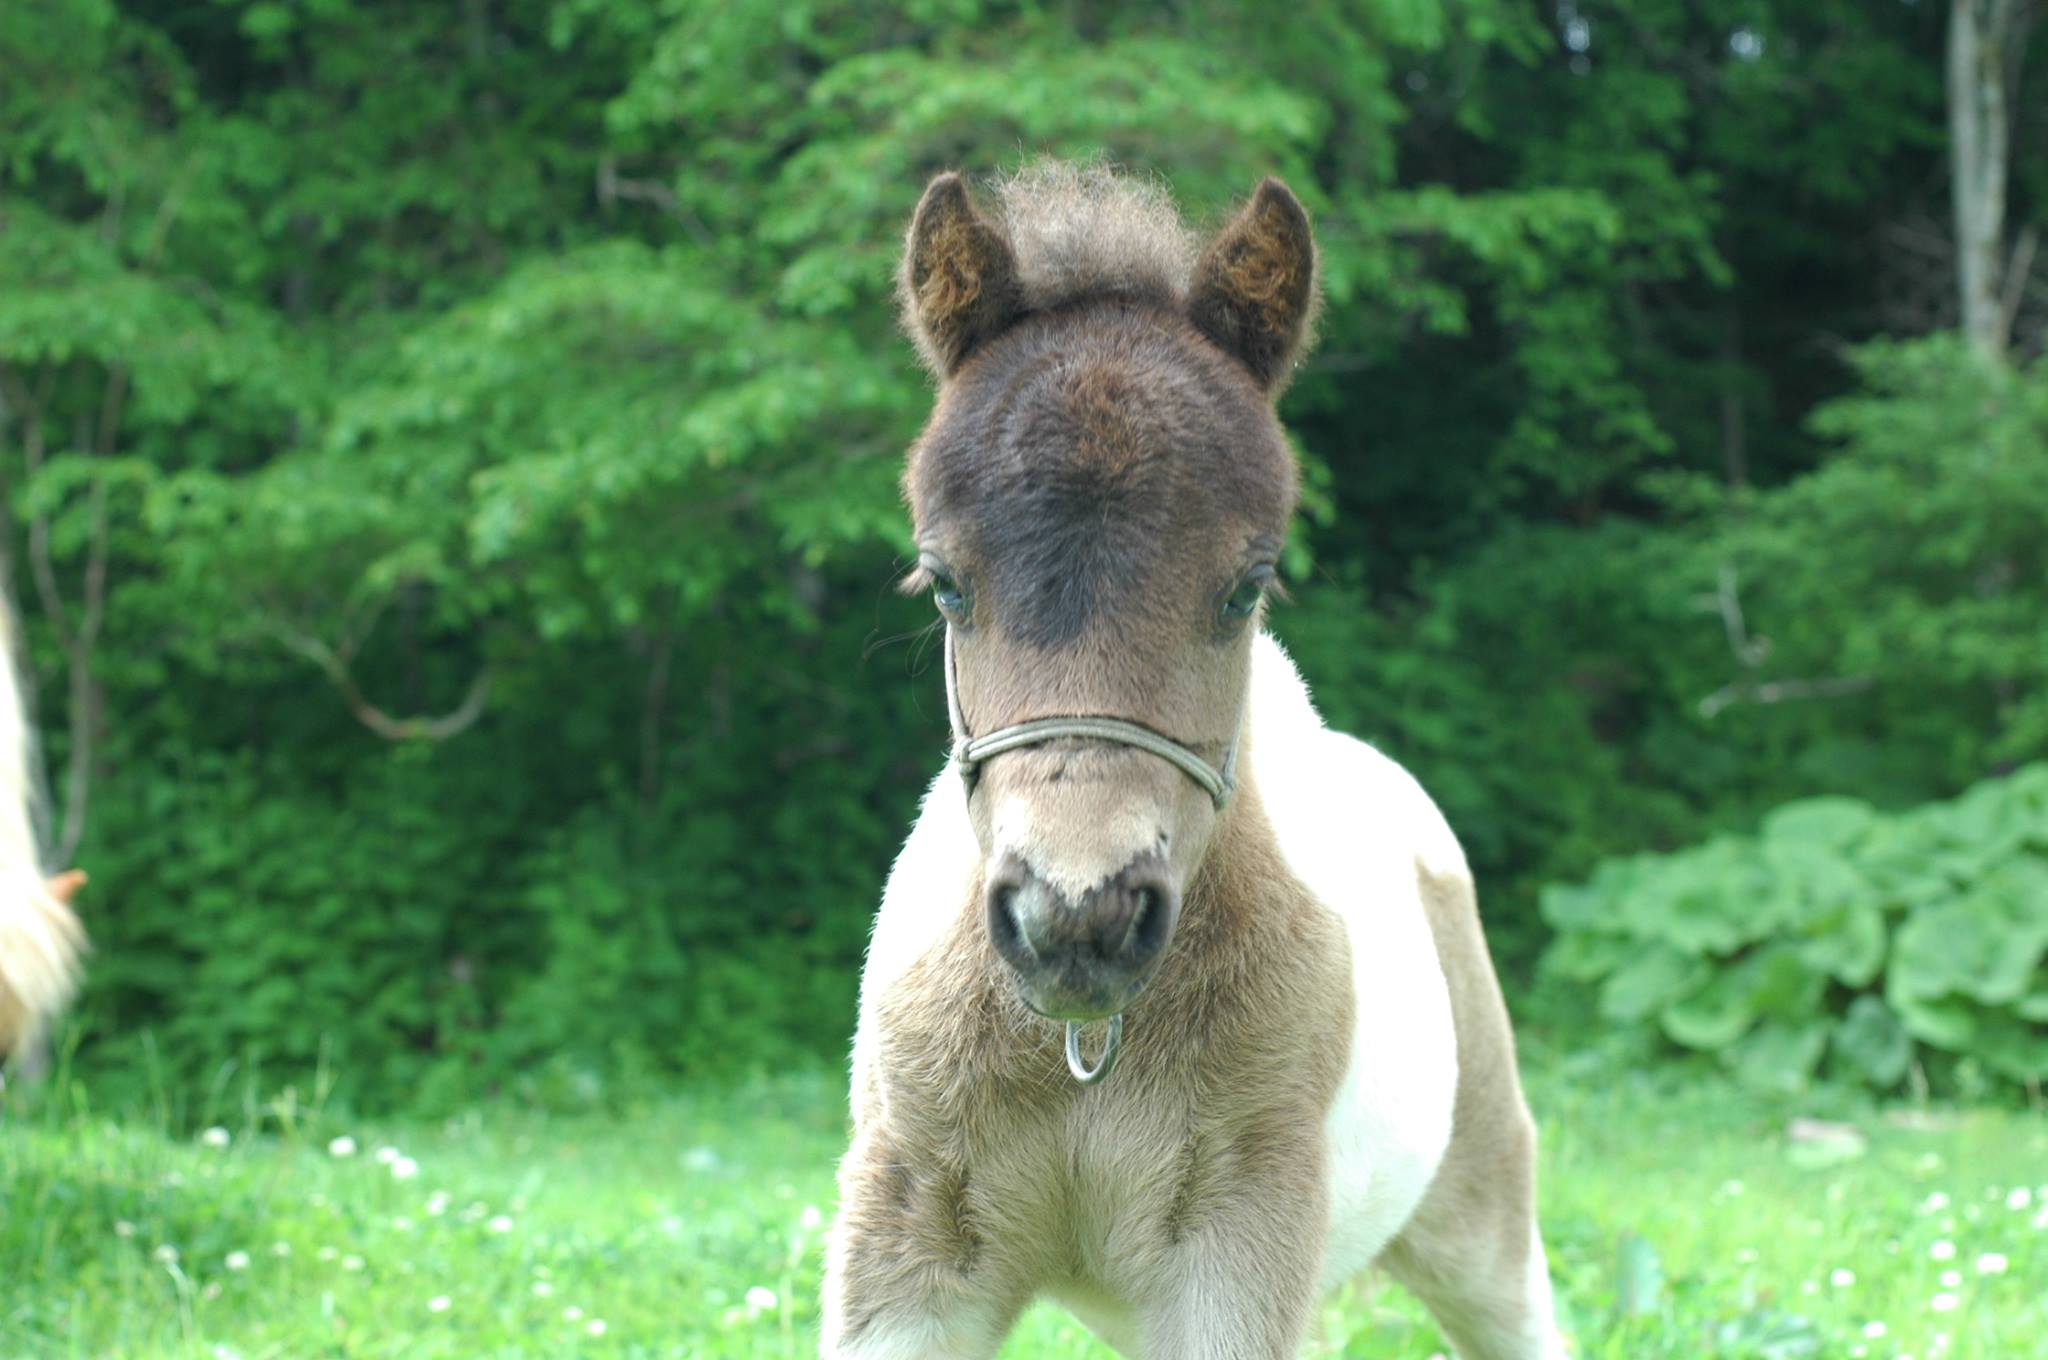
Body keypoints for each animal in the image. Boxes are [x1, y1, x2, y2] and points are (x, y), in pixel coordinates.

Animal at [821, 162, 1568, 1360]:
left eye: (1244, 587)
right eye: (942, 583)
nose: (1075, 917)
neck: (1083, 1051)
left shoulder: (1237, 1251)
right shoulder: (903, 1246)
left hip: (1479, 1216)